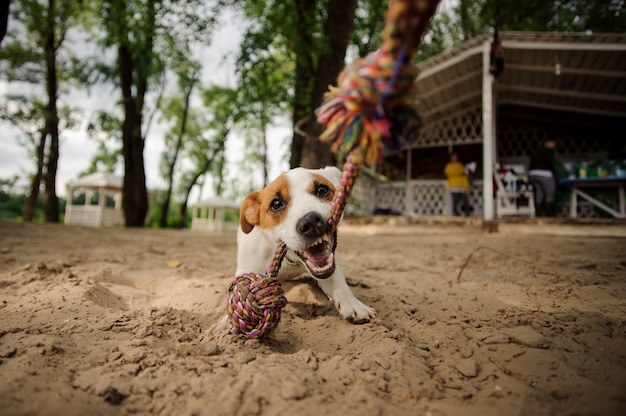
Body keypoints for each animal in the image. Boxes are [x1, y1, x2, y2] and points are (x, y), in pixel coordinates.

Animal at [236, 166, 376, 324]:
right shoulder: (246, 269)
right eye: (276, 204)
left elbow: (338, 284)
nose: (311, 222)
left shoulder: (329, 270)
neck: (290, 260)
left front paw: (353, 303)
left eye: (322, 189)